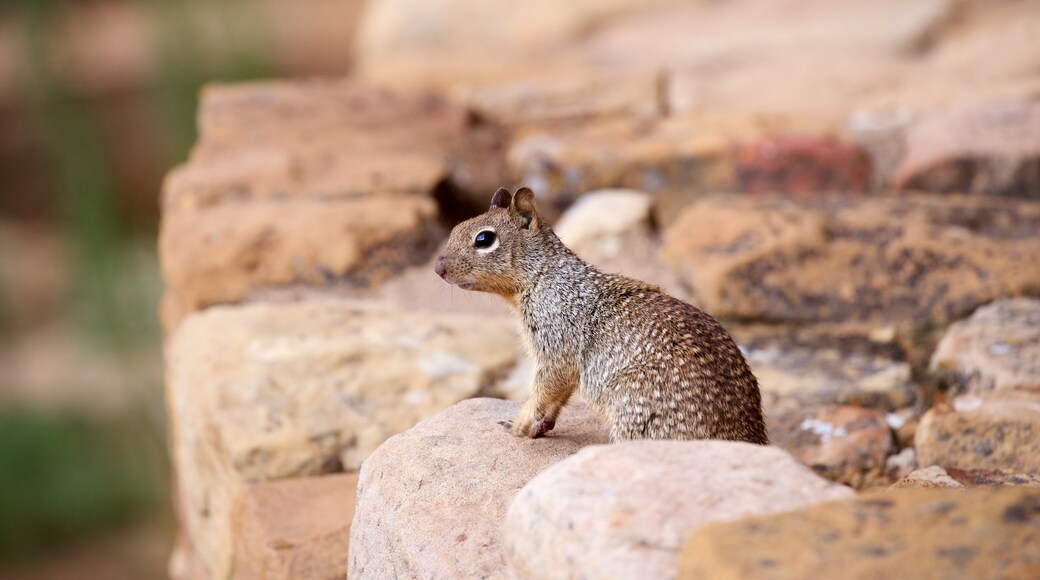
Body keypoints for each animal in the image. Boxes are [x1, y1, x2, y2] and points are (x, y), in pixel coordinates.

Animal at [434, 187, 769, 444]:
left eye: (483, 239)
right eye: (455, 228)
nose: (438, 268)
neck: (545, 277)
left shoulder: (556, 349)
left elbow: (543, 392)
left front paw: (519, 426)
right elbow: (555, 400)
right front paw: (538, 428)